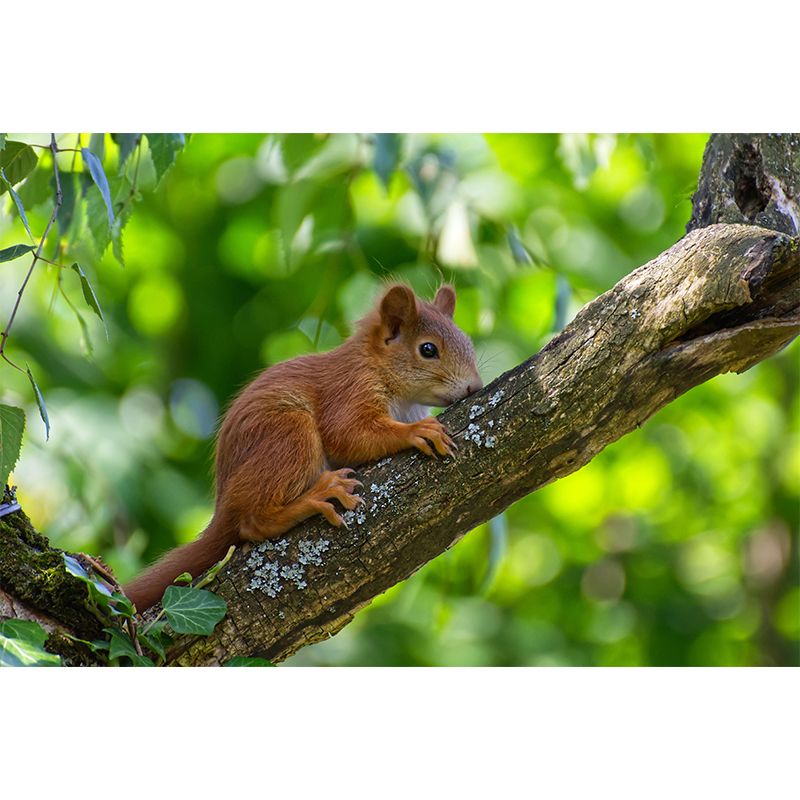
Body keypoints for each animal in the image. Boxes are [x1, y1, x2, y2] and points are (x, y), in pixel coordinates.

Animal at [123, 283, 483, 611]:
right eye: (428, 349)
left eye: (468, 343)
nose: (474, 387)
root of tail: (222, 505)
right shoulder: (350, 388)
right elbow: (348, 434)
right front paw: (416, 431)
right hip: (290, 436)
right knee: (252, 522)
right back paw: (315, 497)